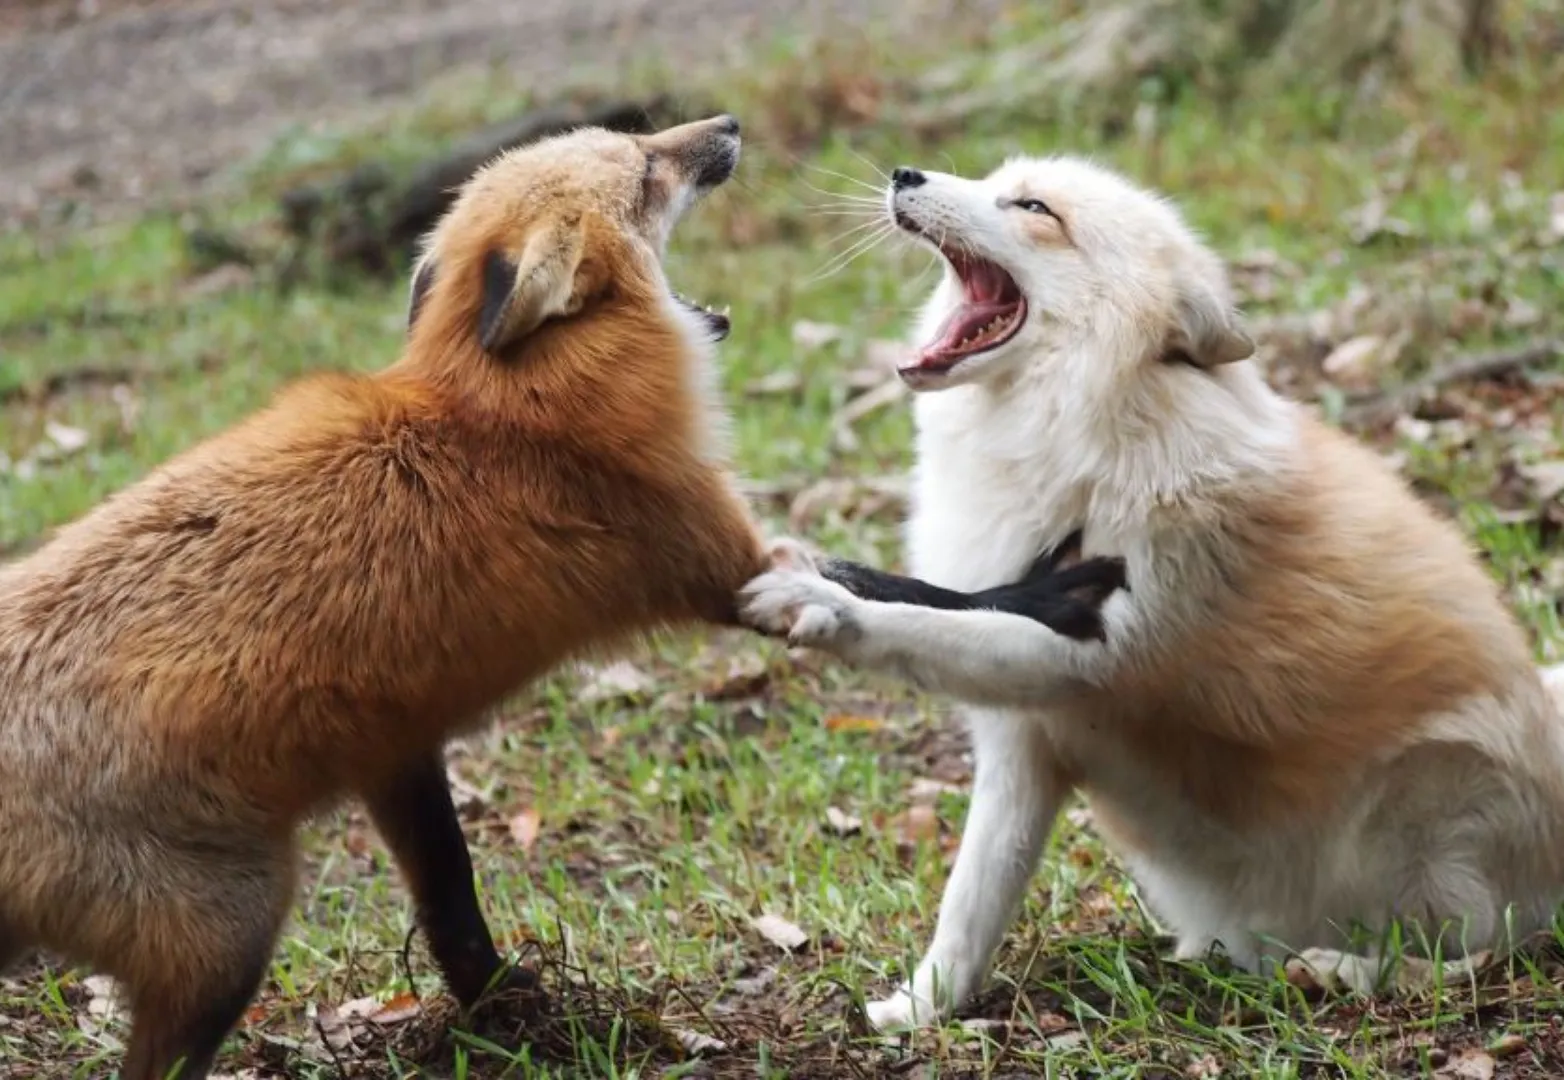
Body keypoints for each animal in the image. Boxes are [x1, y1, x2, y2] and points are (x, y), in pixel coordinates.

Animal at [0, 115, 778, 1080]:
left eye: (634, 137)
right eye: (643, 166)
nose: (729, 126)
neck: (503, 408)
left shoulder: (396, 747)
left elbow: (450, 896)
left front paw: (506, 1006)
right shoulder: (728, 563)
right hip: (234, 931)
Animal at [741, 155, 1564, 1030]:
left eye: (1033, 207)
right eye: (995, 176)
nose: (905, 173)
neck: (1080, 445)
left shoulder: (1091, 652)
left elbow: (907, 623)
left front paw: (819, 607)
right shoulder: (1022, 737)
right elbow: (968, 907)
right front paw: (920, 1011)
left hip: (1430, 812)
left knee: (1477, 959)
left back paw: (1344, 969)